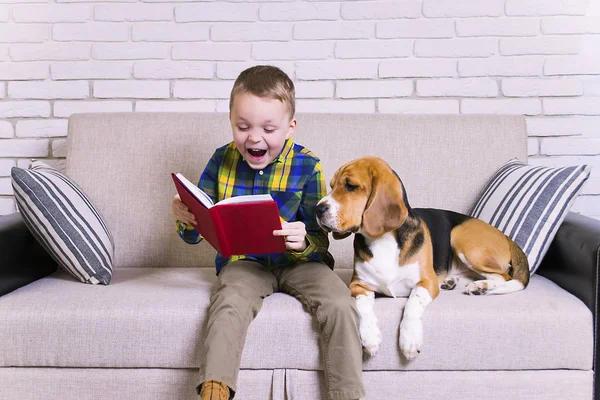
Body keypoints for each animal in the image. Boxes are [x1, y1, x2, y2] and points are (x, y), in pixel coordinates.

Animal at [314, 155, 528, 360]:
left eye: (351, 186)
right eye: (331, 186)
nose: (317, 209)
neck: (382, 240)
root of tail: (505, 235)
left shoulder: (426, 282)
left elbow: (412, 303)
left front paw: (409, 339)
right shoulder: (358, 285)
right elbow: (362, 307)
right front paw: (370, 337)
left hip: (461, 239)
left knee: (504, 277)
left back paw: (480, 286)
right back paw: (454, 282)